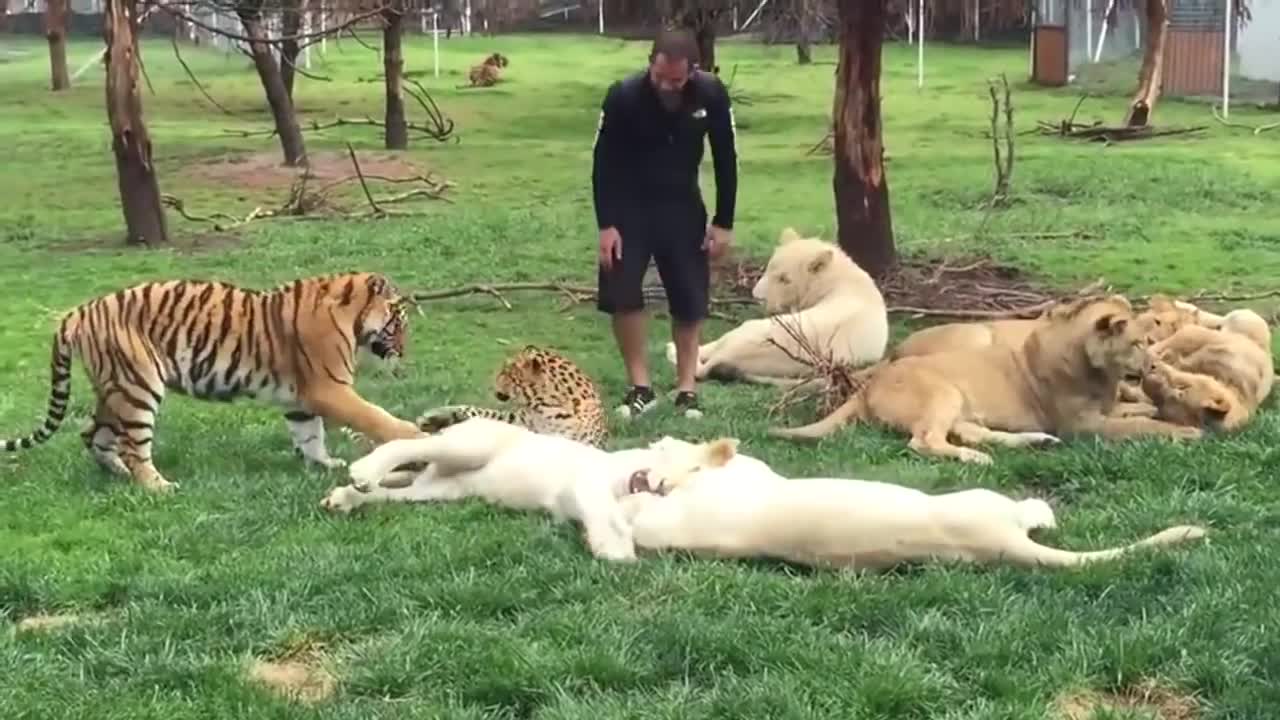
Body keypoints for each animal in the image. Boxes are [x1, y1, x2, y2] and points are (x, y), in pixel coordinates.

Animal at [0, 270, 419, 491]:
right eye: (398, 323)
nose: (403, 351)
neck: (352, 318)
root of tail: (77, 313)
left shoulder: (301, 399)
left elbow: (309, 435)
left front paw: (324, 463)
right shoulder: (329, 388)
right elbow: (375, 416)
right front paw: (412, 436)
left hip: (114, 387)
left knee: (93, 435)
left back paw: (118, 473)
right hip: (138, 387)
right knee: (134, 446)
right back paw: (158, 487)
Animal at [768, 294, 1198, 461]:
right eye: (1138, 343)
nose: (1154, 366)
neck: (1097, 370)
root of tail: (871, 383)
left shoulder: (1105, 407)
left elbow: (1138, 411)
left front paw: (1159, 408)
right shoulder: (1084, 425)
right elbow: (1140, 425)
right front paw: (1184, 430)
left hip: (958, 402)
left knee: (969, 432)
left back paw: (1033, 441)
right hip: (943, 392)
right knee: (924, 441)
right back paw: (977, 458)